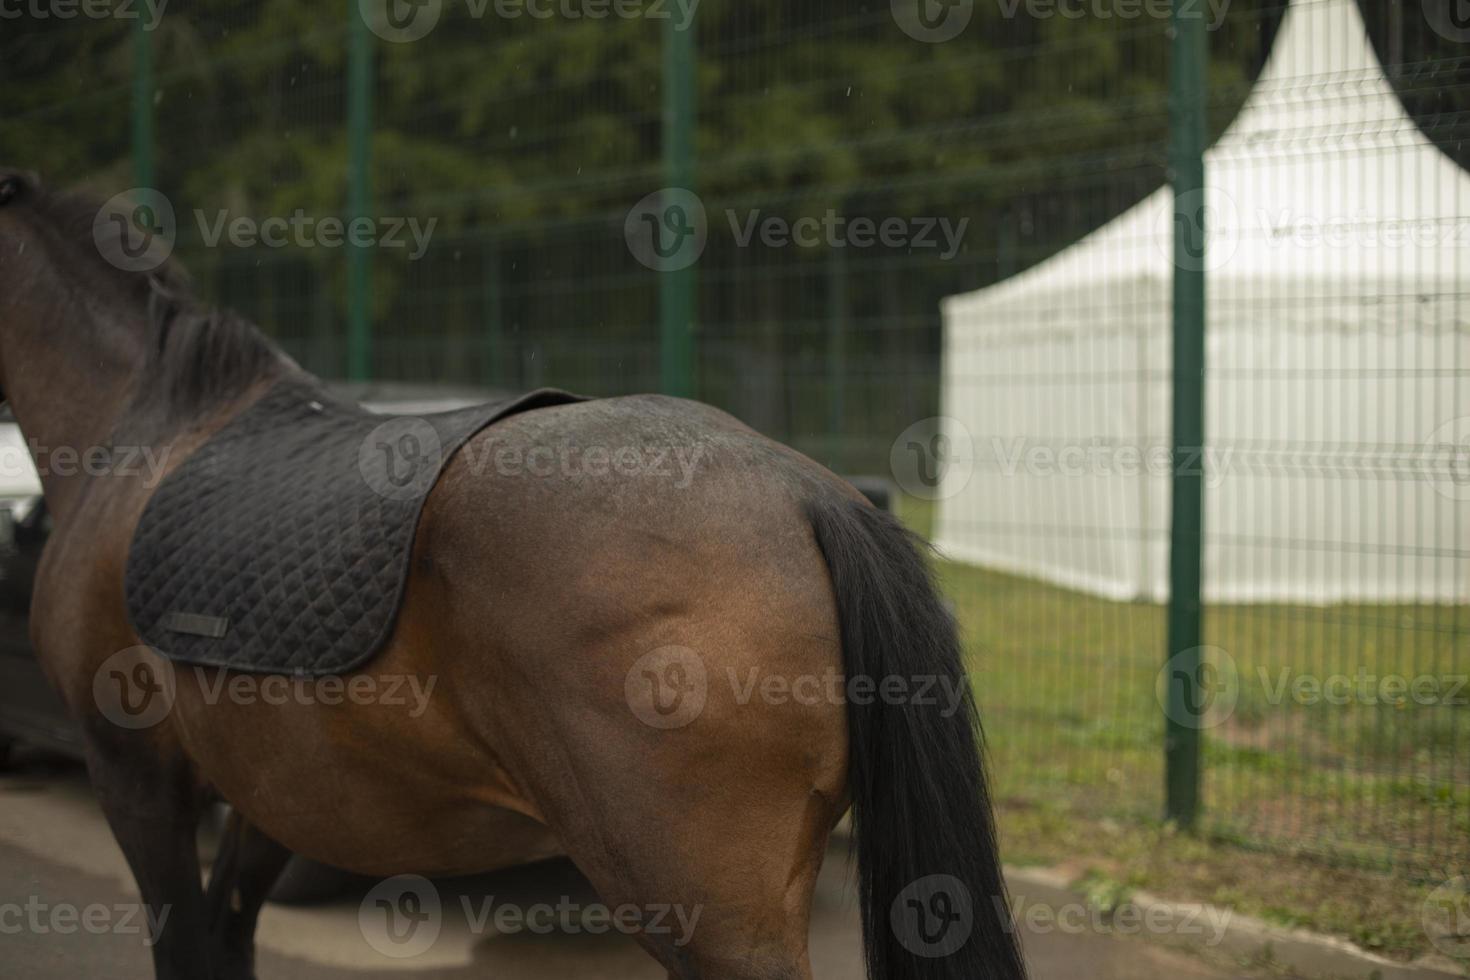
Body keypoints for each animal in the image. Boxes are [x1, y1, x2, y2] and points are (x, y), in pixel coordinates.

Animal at [0, 172, 1029, 980]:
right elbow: (227, 943)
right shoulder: (270, 798)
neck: (146, 426)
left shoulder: (137, 773)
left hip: (717, 924)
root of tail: (811, 496)